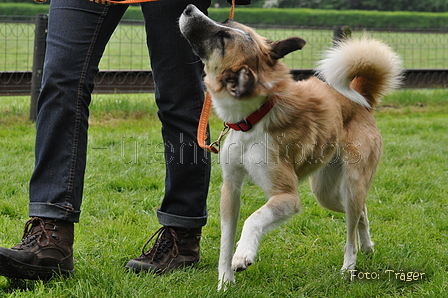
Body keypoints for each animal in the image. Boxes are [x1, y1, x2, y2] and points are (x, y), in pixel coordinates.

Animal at [180, 4, 404, 288]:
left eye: (223, 37)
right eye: (226, 23)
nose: (189, 8)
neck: (253, 117)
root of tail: (360, 99)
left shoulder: (287, 196)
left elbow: (253, 219)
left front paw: (243, 254)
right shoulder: (230, 188)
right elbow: (225, 241)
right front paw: (225, 282)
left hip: (352, 183)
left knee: (350, 232)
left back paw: (348, 267)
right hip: (325, 192)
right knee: (360, 213)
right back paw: (368, 246)